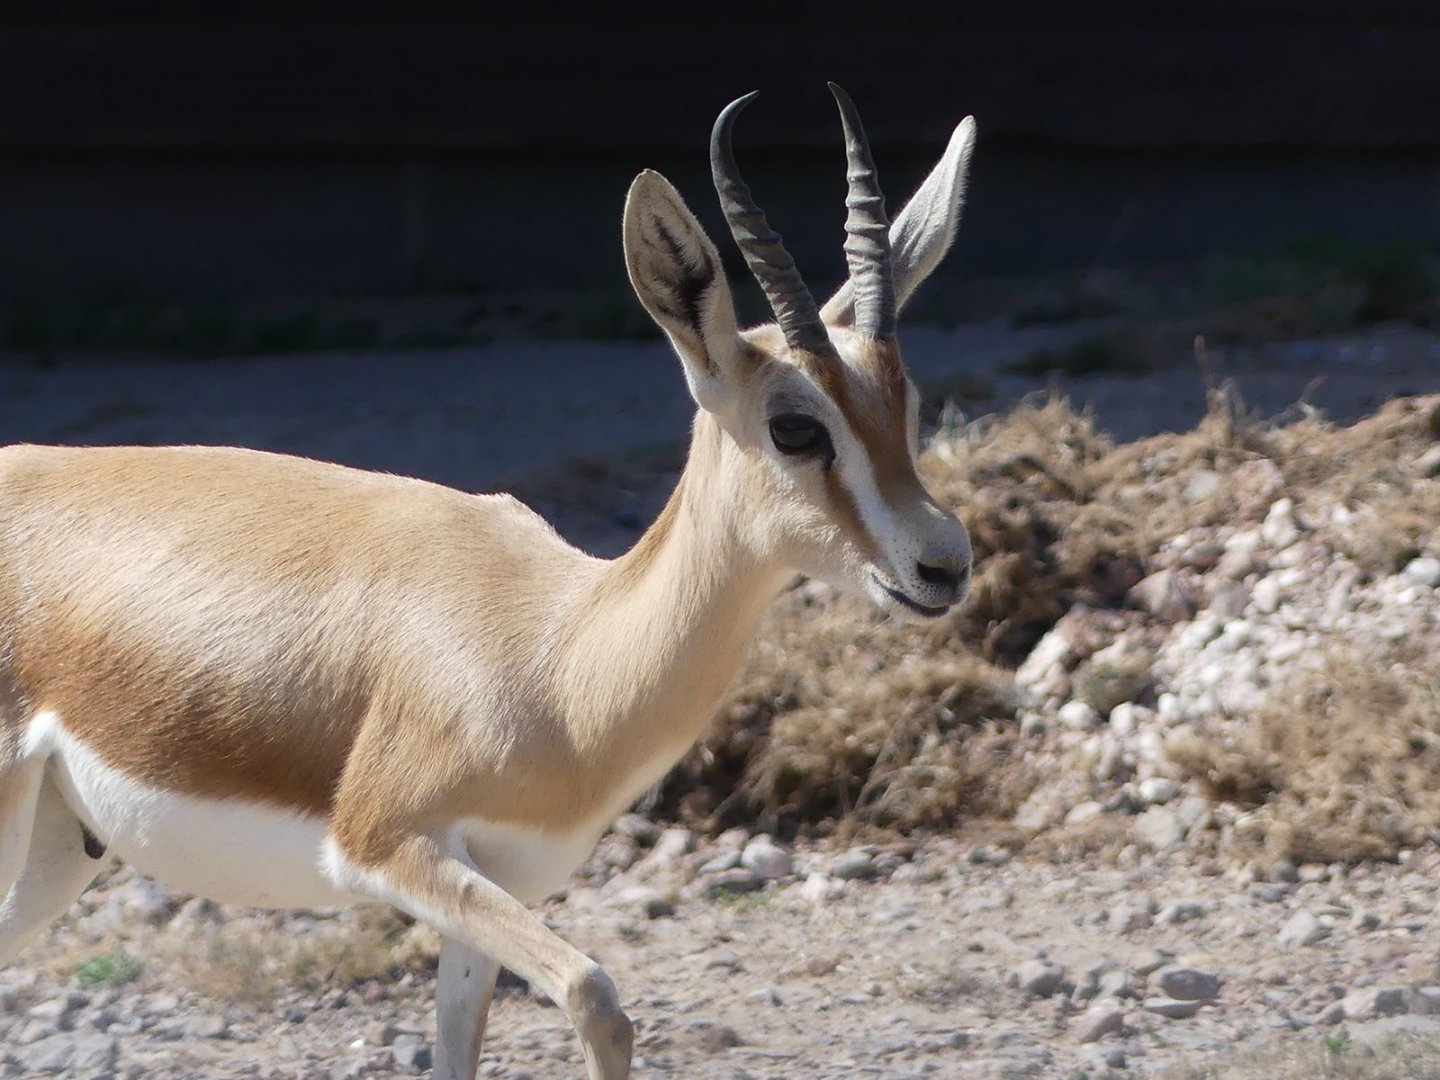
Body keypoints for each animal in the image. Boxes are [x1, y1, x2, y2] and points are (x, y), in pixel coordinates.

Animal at [0, 85, 975, 1079]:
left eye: (905, 405)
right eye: (794, 427)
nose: (943, 564)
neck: (556, 654)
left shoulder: (488, 888)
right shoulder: (388, 845)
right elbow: (597, 996)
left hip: (57, 849)